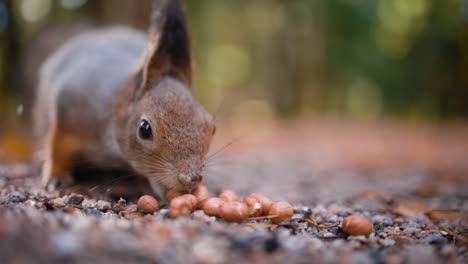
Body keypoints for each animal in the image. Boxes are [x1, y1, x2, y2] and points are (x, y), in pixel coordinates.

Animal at [33, 0, 216, 198]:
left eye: (212, 127)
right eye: (144, 129)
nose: (191, 178)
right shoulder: (70, 108)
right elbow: (57, 145)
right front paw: (55, 175)